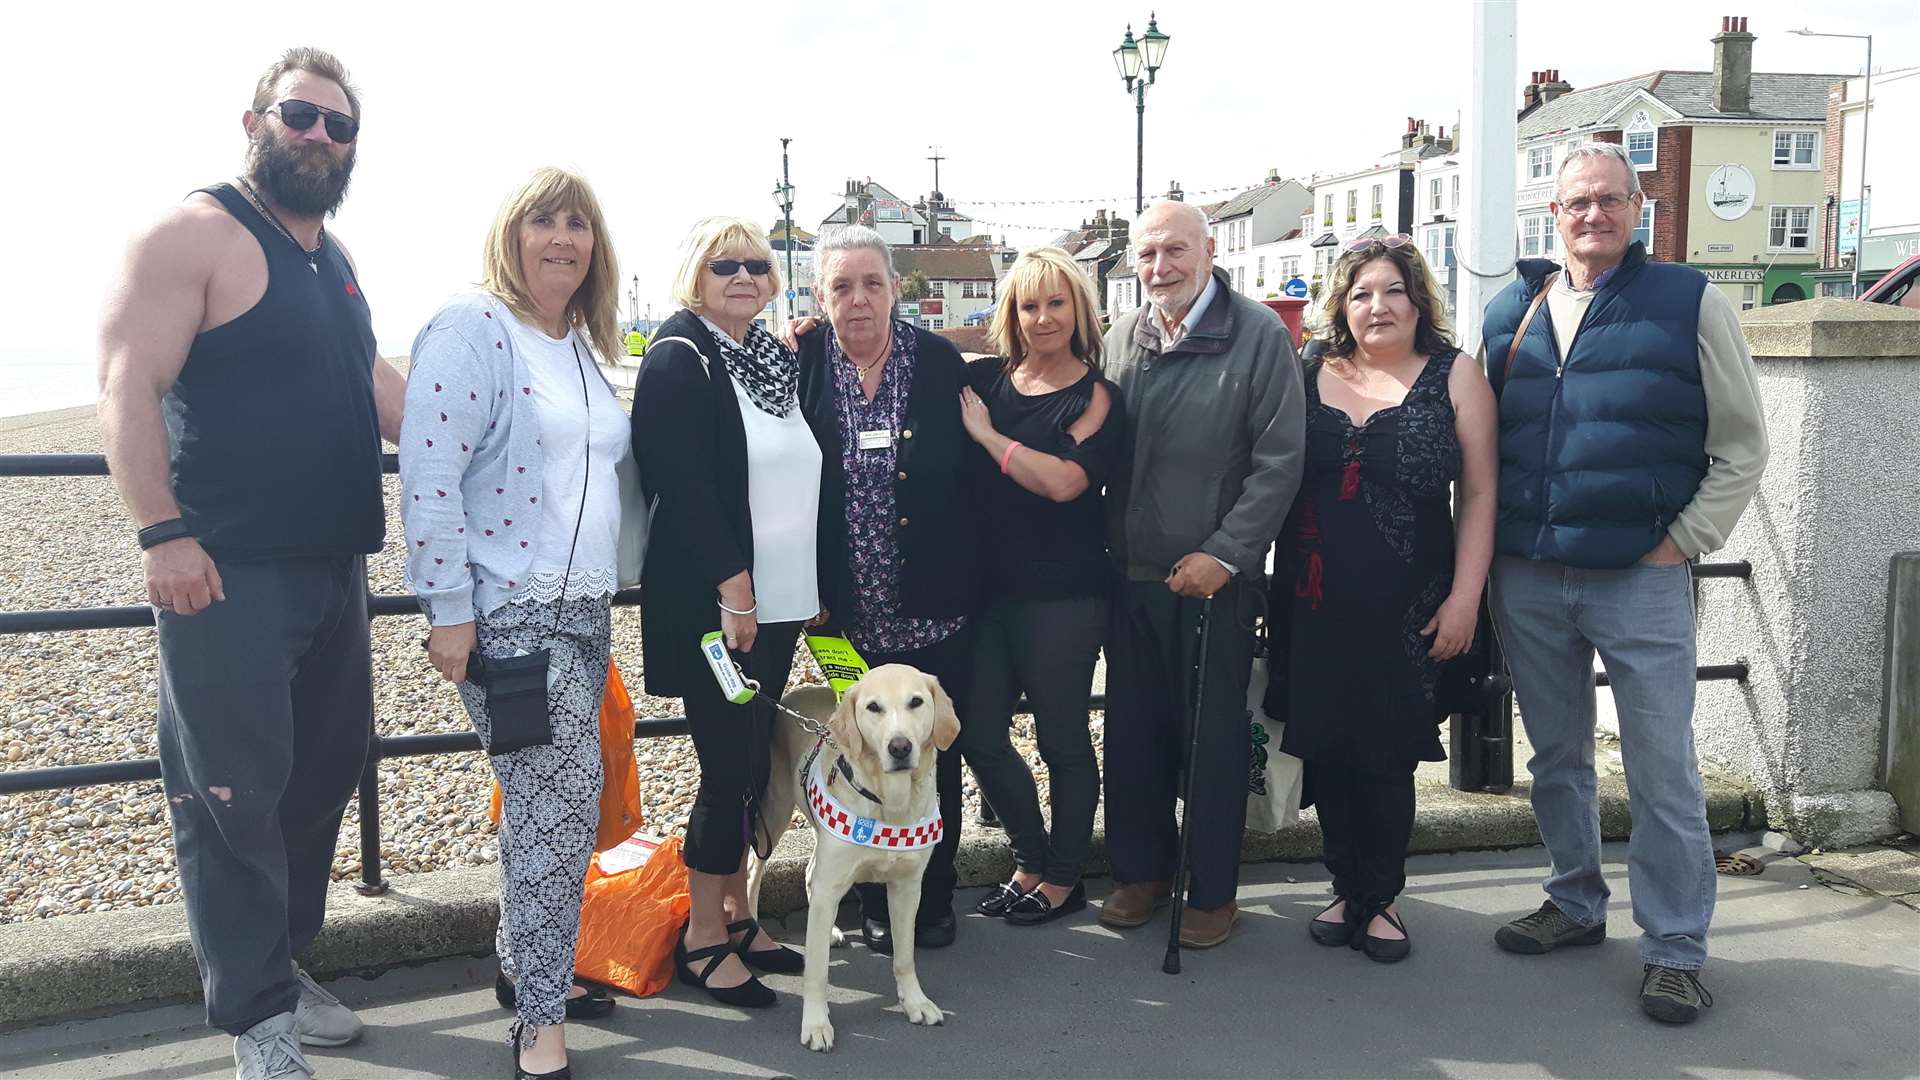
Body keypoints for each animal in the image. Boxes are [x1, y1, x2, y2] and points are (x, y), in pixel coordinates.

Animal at [744, 661, 960, 1045]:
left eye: (916, 702)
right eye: (873, 707)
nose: (900, 747)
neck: (890, 803)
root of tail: (797, 693)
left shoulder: (907, 888)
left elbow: (905, 956)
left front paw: (915, 1003)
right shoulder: (832, 883)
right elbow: (817, 970)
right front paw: (816, 1024)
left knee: (810, 874)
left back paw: (829, 930)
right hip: (775, 810)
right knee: (755, 870)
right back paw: (756, 927)